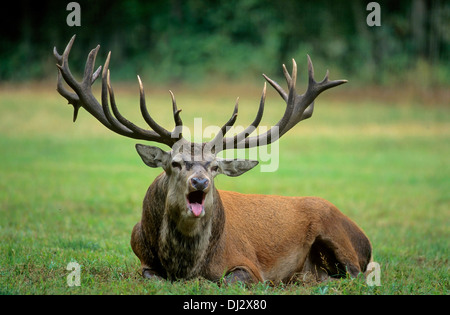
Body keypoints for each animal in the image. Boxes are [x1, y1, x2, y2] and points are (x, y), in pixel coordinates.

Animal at [54, 35, 372, 286]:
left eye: (215, 167)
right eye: (175, 163)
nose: (200, 182)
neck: (185, 265)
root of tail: (366, 241)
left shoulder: (250, 266)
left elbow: (225, 280)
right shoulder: (143, 258)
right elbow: (152, 276)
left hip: (337, 235)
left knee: (355, 275)